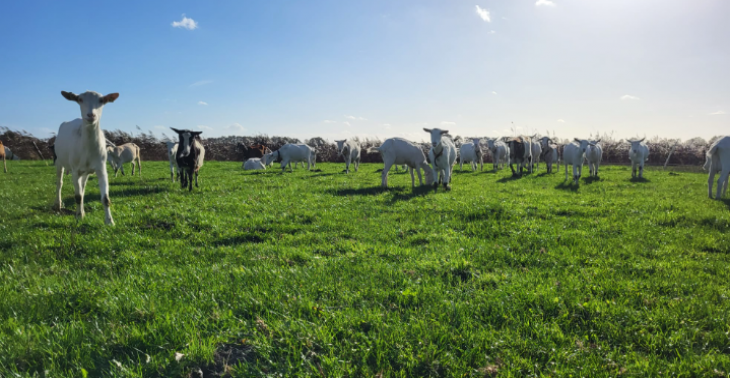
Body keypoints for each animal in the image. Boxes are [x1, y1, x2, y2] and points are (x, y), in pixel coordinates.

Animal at [54, 90, 119, 226]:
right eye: (80, 99)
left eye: (101, 100)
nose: (91, 115)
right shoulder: (75, 170)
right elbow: (77, 196)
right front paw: (78, 217)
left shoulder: (101, 169)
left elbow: (105, 198)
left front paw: (110, 221)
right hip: (59, 161)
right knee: (59, 182)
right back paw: (58, 204)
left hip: (86, 171)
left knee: (82, 187)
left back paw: (82, 211)